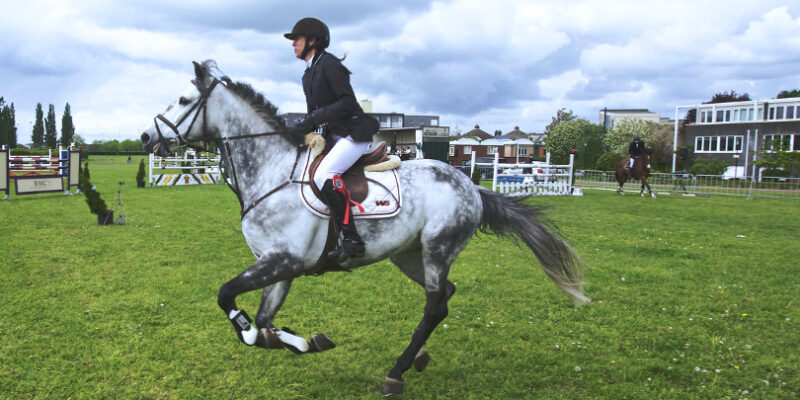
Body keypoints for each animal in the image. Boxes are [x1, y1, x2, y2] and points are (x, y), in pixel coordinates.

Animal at [139, 60, 588, 396]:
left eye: (184, 100)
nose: (145, 136)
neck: (271, 171)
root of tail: (471, 184)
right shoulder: (280, 266)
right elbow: (265, 324)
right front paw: (304, 341)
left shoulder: (283, 261)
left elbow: (229, 299)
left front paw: (269, 334)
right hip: (409, 256)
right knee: (444, 296)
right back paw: (417, 358)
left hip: (438, 248)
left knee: (434, 305)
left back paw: (397, 373)